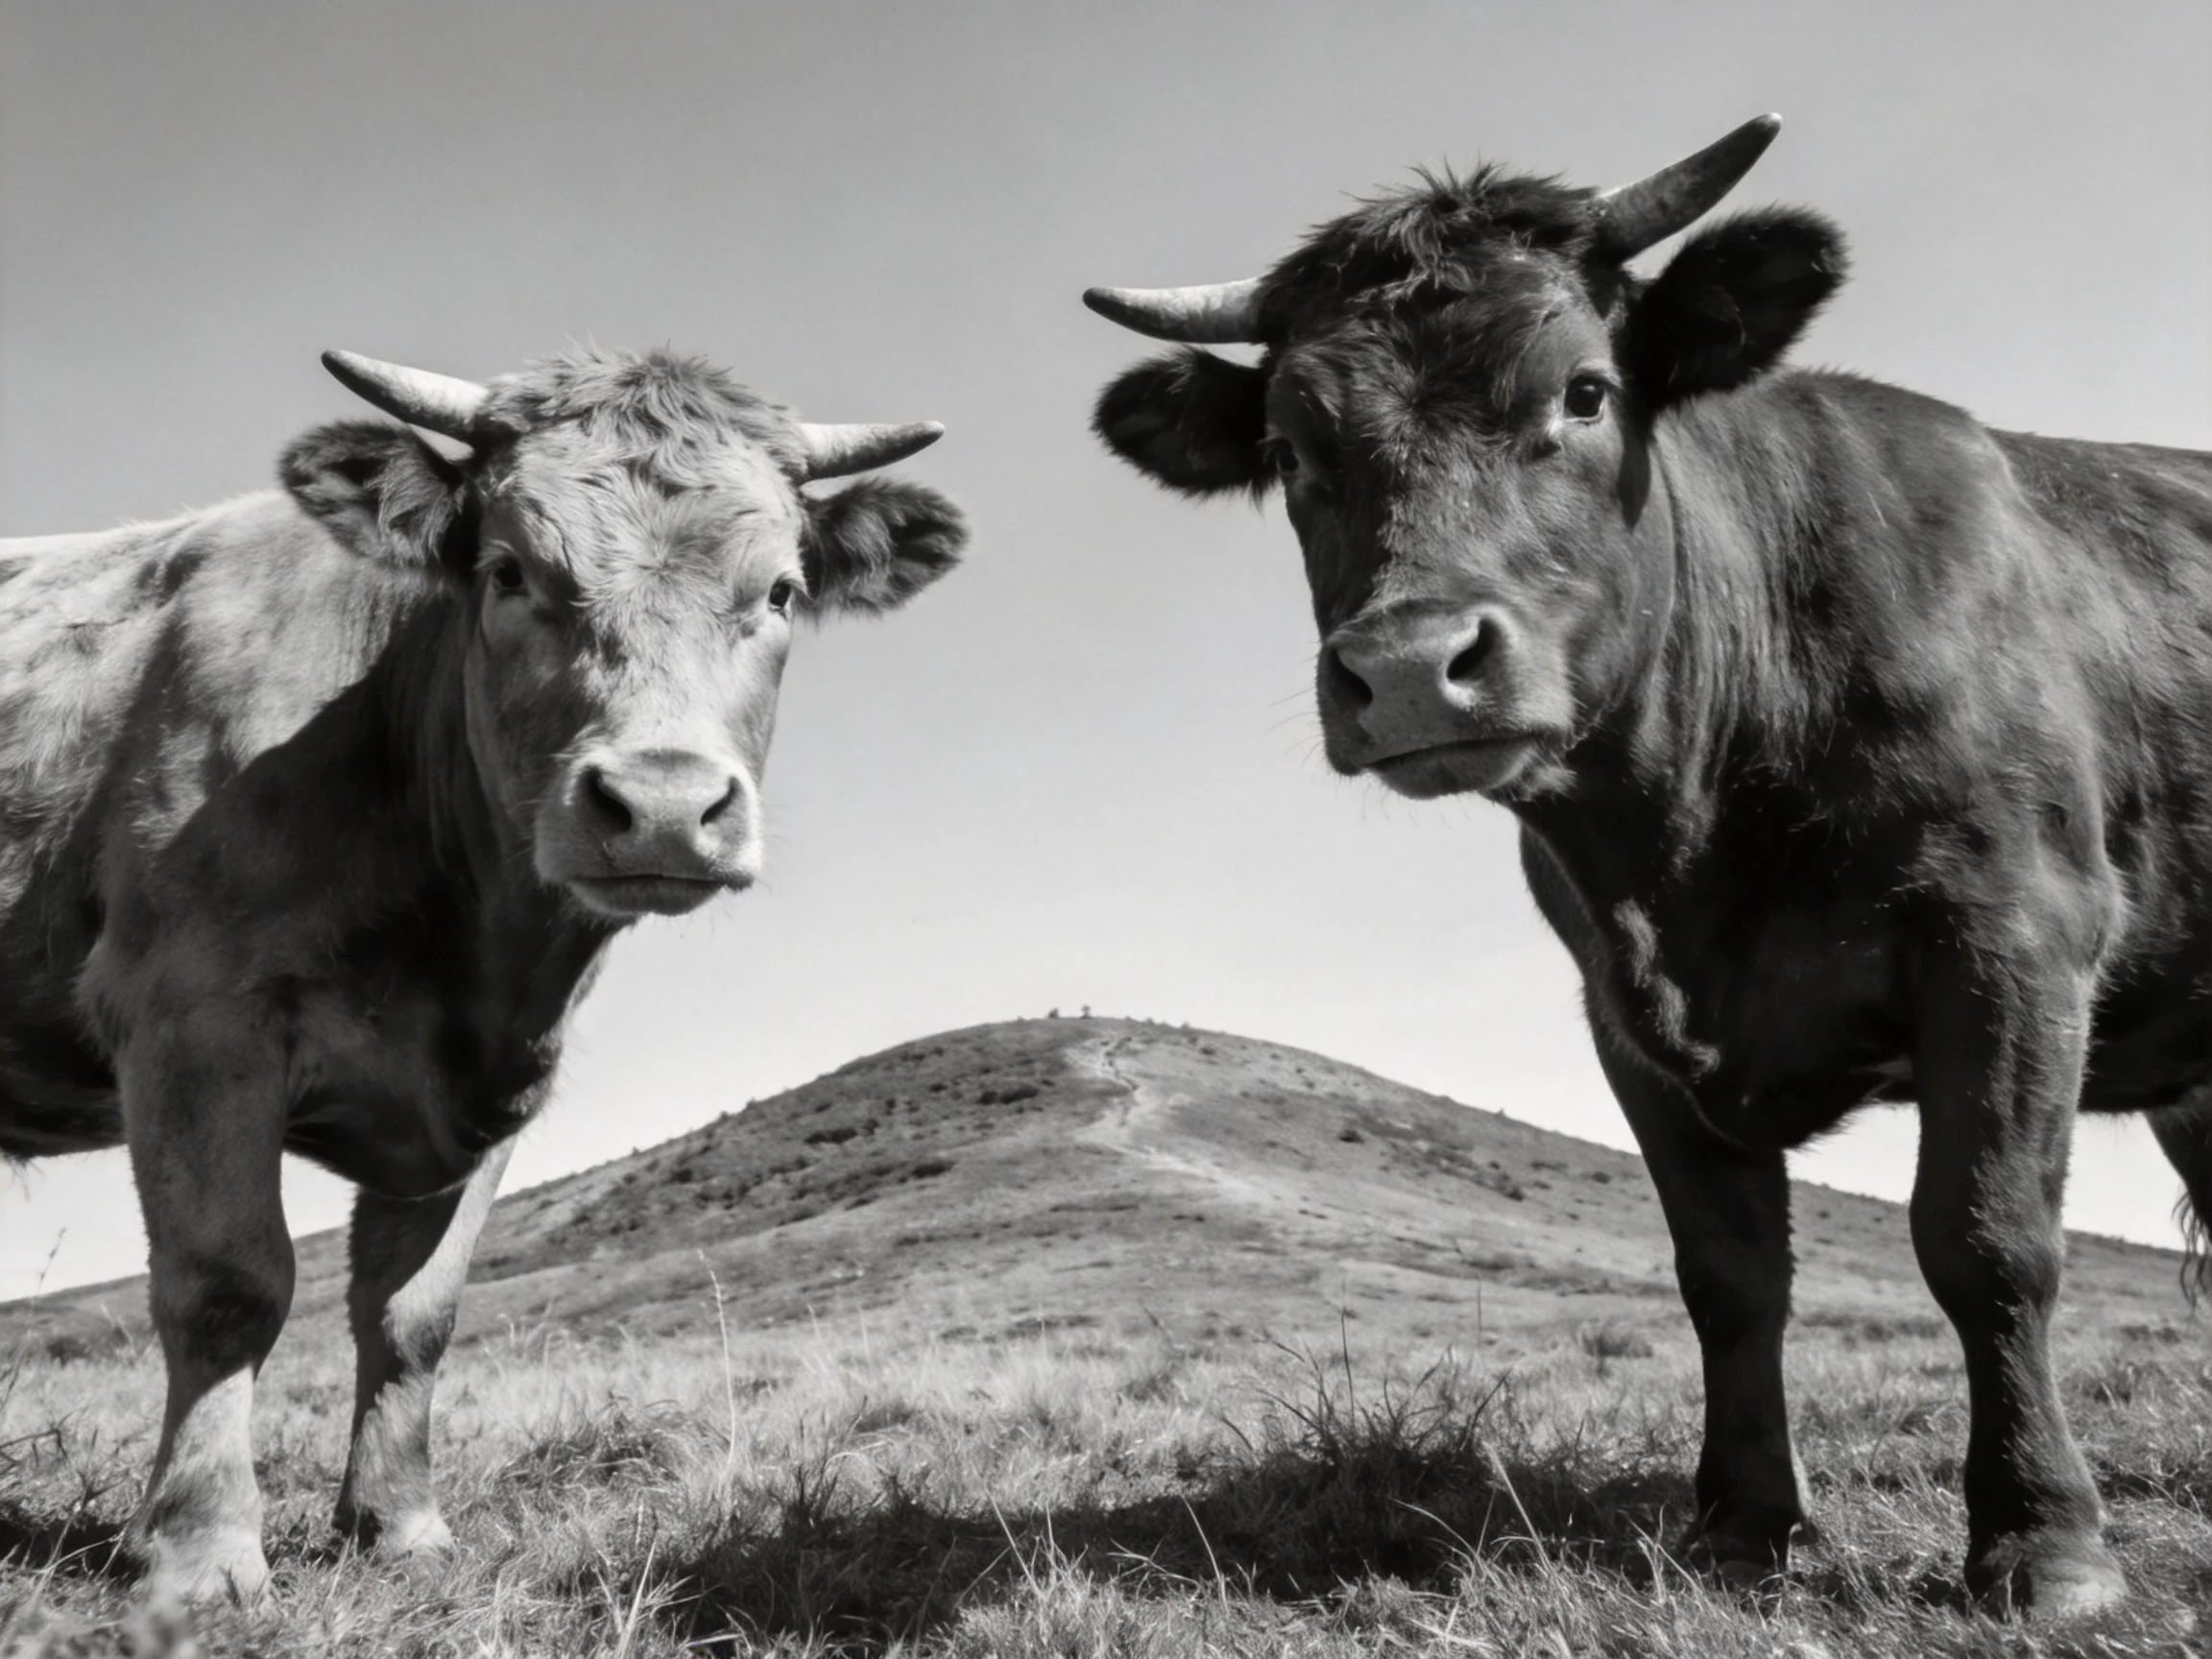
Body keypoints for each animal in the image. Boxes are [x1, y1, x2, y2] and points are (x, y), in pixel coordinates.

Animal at [0, 347, 965, 1601]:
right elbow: (228, 1285)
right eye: (509, 572)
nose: (662, 805)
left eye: (782, 594)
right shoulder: (189, 1017)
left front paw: (399, 1530)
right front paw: (203, 1554)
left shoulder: (492, 1084)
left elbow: (415, 1315)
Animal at [1084, 114, 2212, 1617]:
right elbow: (1727, 1276)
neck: (1687, 843)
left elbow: (1988, 1240)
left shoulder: (2014, 943)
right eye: (1289, 443)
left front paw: (2044, 1542)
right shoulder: (1626, 1025)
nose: (1410, 667)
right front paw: (1743, 1523)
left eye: (1585, 390)